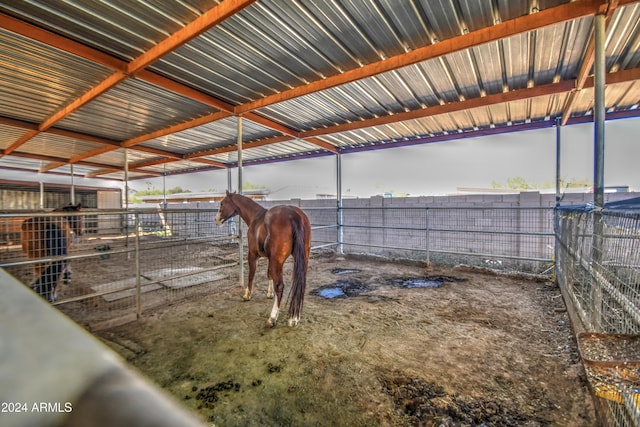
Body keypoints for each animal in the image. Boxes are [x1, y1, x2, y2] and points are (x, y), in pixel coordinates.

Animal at [214, 192, 312, 330]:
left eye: (222, 203)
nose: (216, 219)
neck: (256, 217)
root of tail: (294, 215)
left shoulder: (252, 255)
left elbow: (251, 275)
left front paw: (247, 295)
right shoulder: (269, 258)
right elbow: (269, 274)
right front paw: (270, 294)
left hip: (277, 261)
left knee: (280, 286)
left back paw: (272, 318)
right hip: (301, 260)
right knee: (299, 284)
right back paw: (294, 318)